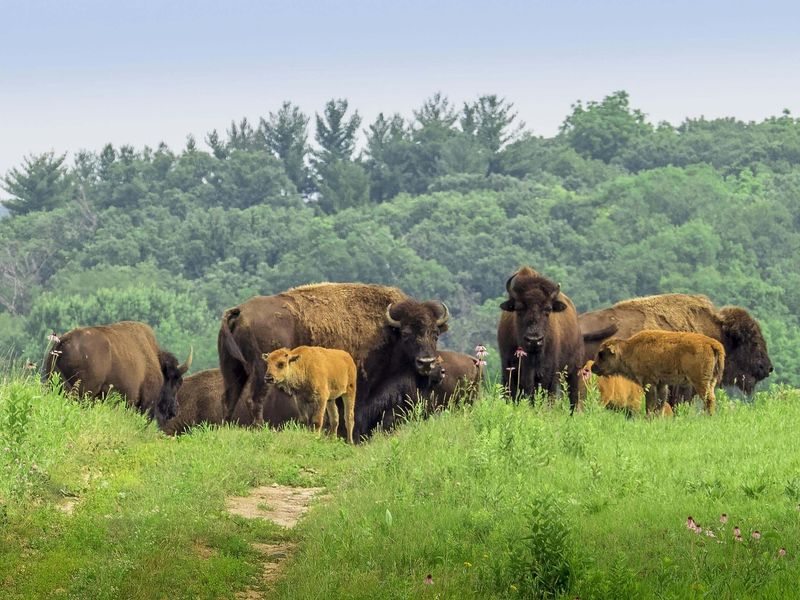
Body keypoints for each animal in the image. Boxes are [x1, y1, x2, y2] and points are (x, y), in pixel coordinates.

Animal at [216, 282, 450, 440]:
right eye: (407, 334)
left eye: (435, 334)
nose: (427, 363)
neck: (387, 330)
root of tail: (239, 311)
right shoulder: (360, 384)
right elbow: (350, 412)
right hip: (262, 372)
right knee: (253, 400)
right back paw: (259, 430)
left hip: (233, 370)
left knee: (229, 399)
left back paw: (226, 429)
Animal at [496, 268, 584, 412]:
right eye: (518, 308)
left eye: (548, 309)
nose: (534, 339)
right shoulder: (509, 369)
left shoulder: (549, 372)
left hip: (573, 370)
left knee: (573, 396)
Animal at [588, 330, 724, 414]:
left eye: (601, 354)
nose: (593, 367)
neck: (630, 349)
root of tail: (713, 343)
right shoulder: (661, 384)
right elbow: (660, 403)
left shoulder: (649, 382)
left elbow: (650, 404)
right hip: (711, 381)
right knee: (712, 398)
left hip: (700, 381)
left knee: (708, 399)